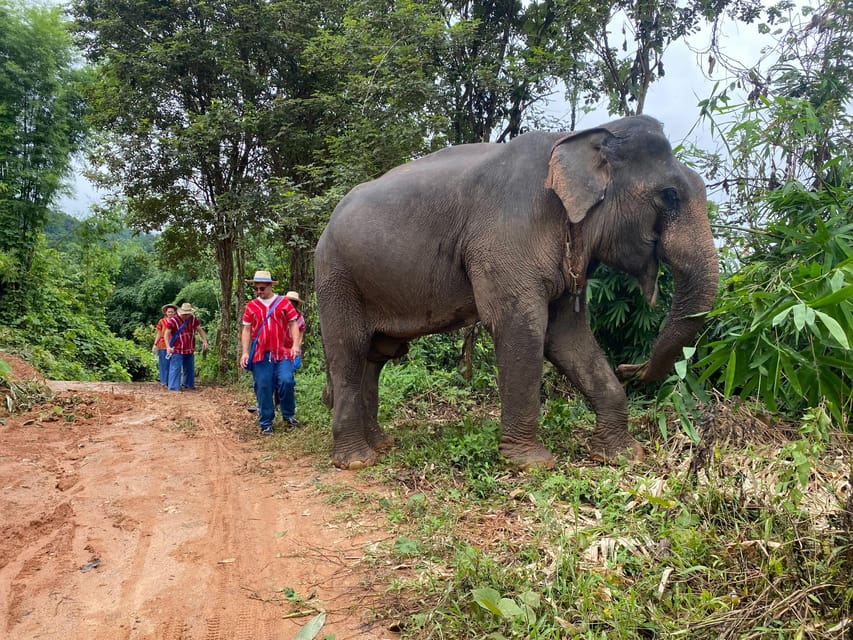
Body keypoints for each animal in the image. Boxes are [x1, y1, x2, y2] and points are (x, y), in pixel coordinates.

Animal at [312, 116, 720, 470]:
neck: (578, 139)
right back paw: (356, 460)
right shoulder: (506, 236)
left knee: (377, 354)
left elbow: (567, 336)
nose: (629, 368)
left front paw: (623, 455)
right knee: (349, 349)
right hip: (336, 276)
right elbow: (520, 325)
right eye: (670, 196)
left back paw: (381, 444)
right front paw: (532, 463)